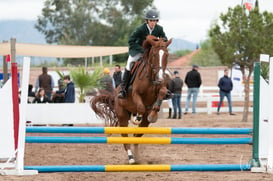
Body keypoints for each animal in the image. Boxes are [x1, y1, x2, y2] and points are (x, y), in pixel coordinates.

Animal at [91, 35, 172, 164]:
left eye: (166, 54)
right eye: (154, 54)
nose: (160, 77)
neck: (151, 77)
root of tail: (114, 95)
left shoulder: (161, 88)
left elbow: (162, 93)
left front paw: (153, 115)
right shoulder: (136, 94)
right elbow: (140, 107)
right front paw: (137, 117)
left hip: (144, 124)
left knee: (137, 136)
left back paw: (137, 156)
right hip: (122, 115)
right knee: (125, 136)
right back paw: (131, 157)